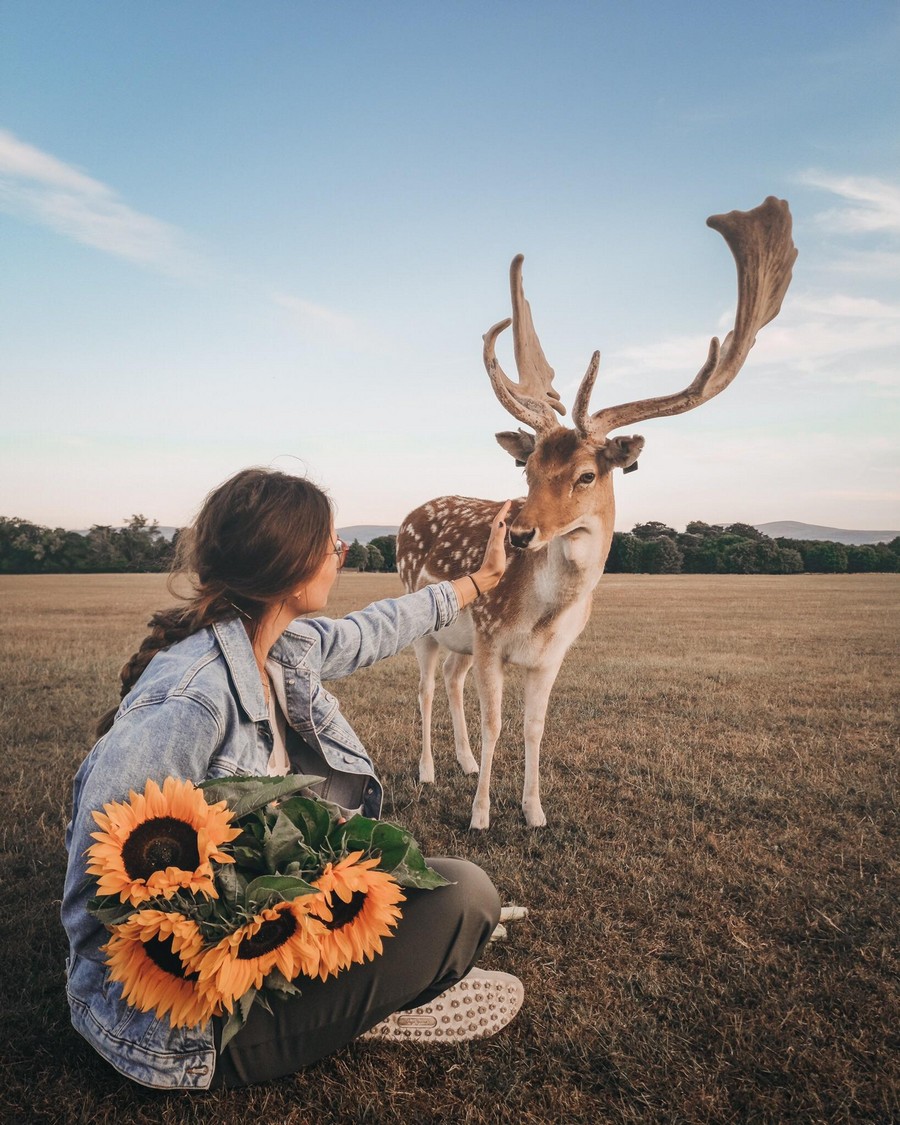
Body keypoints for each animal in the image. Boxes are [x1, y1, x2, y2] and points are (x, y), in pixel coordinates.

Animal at [398, 193, 796, 832]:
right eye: (527, 468)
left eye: (586, 474)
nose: (518, 533)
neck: (542, 614)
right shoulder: (489, 637)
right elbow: (496, 725)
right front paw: (480, 816)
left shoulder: (546, 656)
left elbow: (534, 729)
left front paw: (534, 811)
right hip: (427, 620)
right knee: (427, 688)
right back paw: (431, 772)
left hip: (458, 639)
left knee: (451, 686)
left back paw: (460, 764)